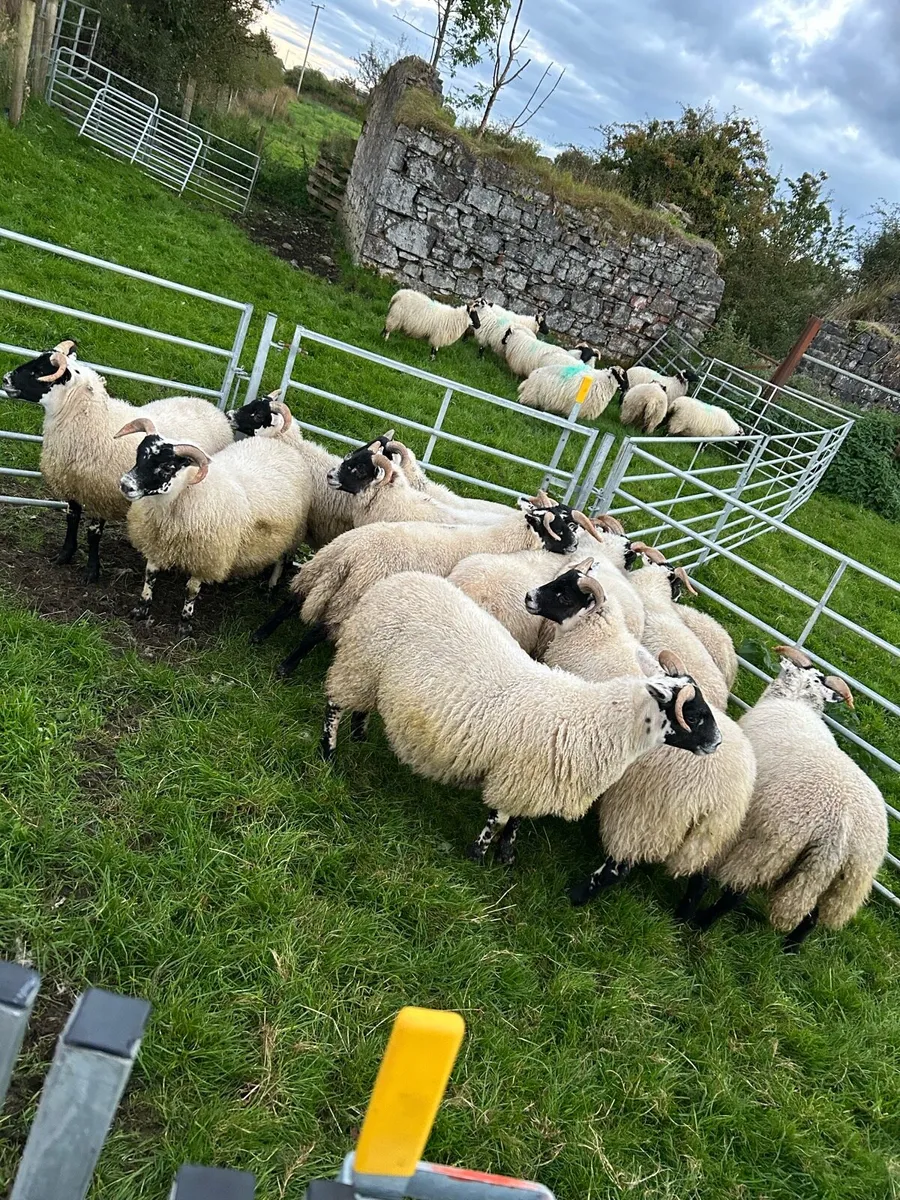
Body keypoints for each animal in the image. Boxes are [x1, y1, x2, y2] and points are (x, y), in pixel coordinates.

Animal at [1, 340, 233, 581]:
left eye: (39, 371)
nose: (6, 379)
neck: (91, 420)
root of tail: (212, 408)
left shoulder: (99, 493)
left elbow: (93, 534)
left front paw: (92, 571)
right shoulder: (73, 484)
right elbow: (72, 520)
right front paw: (64, 555)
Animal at [116, 413, 312, 633]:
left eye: (168, 467)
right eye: (139, 454)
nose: (126, 485)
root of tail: (281, 446)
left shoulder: (207, 555)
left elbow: (191, 590)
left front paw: (185, 622)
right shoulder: (156, 540)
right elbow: (150, 575)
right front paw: (142, 608)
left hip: (291, 534)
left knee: (280, 560)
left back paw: (271, 587)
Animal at [259, 497, 586, 675]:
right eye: (559, 525)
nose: (575, 546)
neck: (498, 539)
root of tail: (351, 553)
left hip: (318, 569)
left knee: (291, 600)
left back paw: (259, 636)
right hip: (353, 594)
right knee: (318, 630)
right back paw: (286, 667)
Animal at [321, 570, 723, 864]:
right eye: (695, 715)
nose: (717, 742)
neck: (593, 721)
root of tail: (397, 579)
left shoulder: (536, 782)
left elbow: (517, 820)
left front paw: (506, 854)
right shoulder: (515, 775)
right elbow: (499, 818)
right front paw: (478, 854)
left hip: (371, 670)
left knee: (361, 705)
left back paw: (360, 735)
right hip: (360, 659)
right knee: (334, 705)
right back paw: (328, 754)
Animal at [689, 645, 888, 951]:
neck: (796, 699)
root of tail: (839, 832)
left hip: (769, 847)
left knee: (737, 894)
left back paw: (702, 922)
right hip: (845, 881)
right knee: (812, 918)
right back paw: (790, 949)